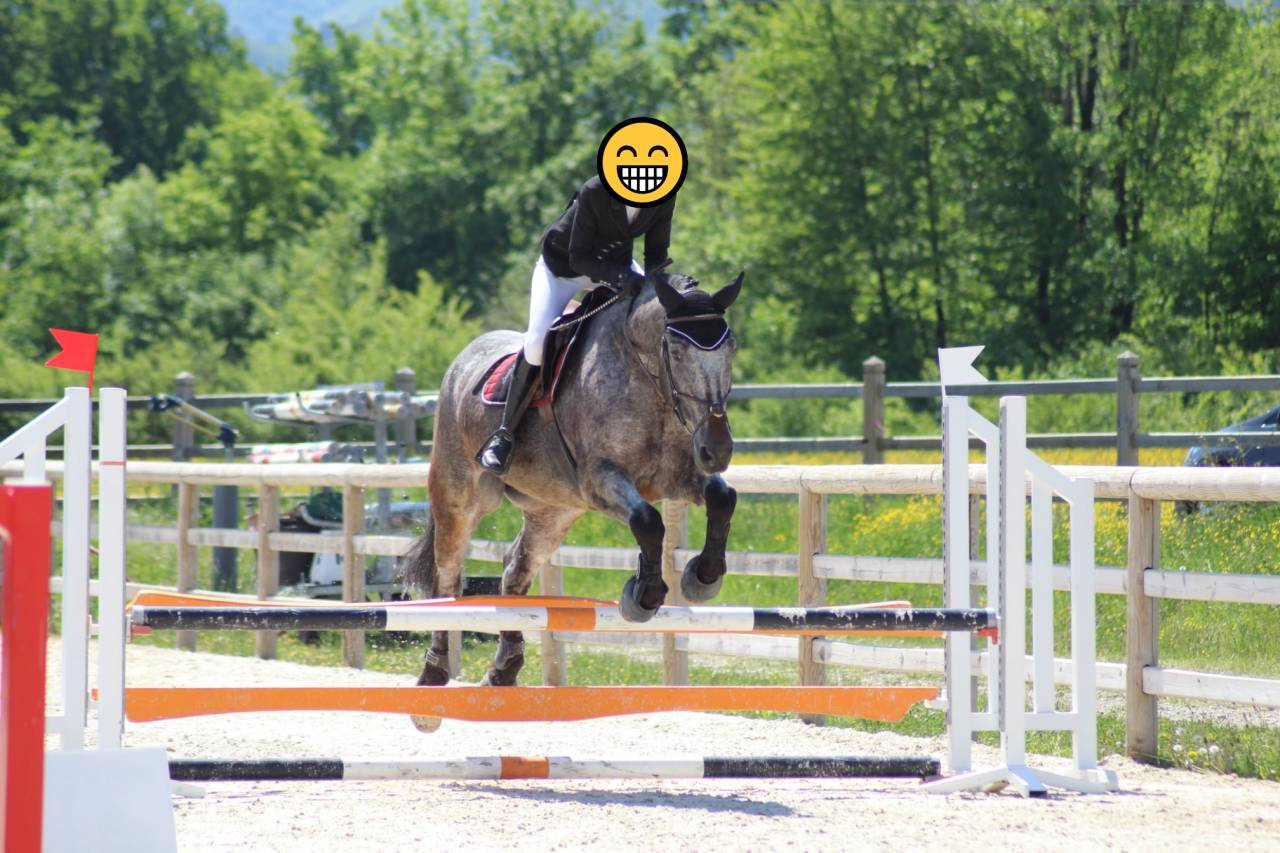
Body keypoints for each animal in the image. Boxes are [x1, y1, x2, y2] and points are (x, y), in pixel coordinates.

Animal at [401, 271, 743, 689]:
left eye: (731, 349)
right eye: (676, 353)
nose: (718, 449)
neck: (650, 385)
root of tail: (463, 360)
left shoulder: (678, 477)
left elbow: (723, 498)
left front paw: (703, 577)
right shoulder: (599, 480)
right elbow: (648, 521)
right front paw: (643, 595)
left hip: (554, 510)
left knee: (516, 568)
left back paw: (504, 668)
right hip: (460, 495)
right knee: (448, 574)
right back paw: (435, 668)